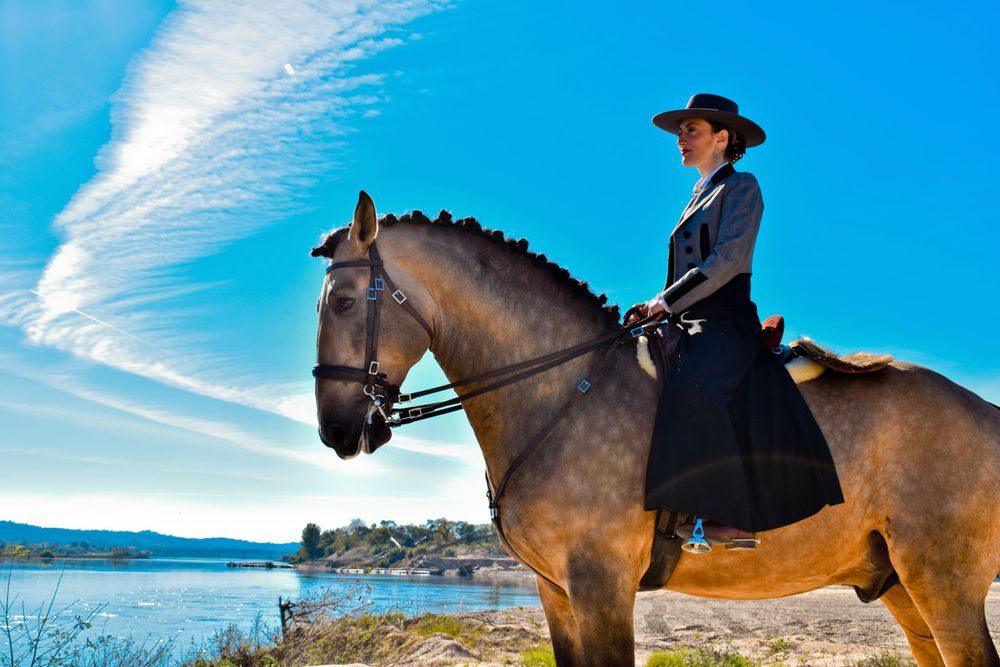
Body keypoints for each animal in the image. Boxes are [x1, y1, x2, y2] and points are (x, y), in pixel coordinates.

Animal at [311, 192, 1000, 666]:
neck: (566, 388)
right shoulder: (556, 593)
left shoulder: (601, 586)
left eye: (343, 302)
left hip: (944, 585)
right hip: (903, 587)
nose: (337, 432)